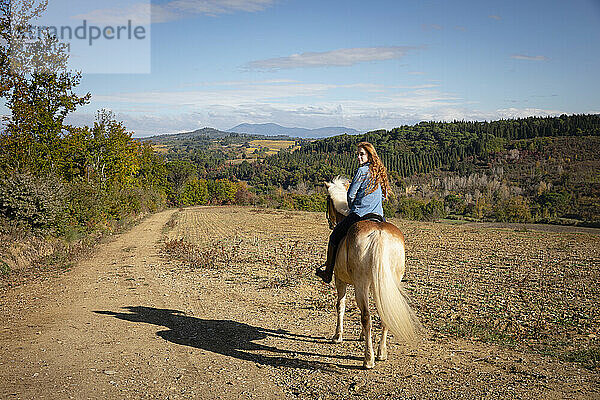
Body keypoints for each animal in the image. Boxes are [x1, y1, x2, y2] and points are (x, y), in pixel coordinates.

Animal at [326, 177, 420, 370]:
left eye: (327, 201)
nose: (331, 223)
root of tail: (379, 233)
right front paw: (362, 336)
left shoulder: (340, 280)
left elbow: (341, 305)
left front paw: (338, 336)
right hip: (387, 282)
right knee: (383, 314)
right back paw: (381, 352)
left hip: (361, 283)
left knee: (366, 316)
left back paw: (368, 359)